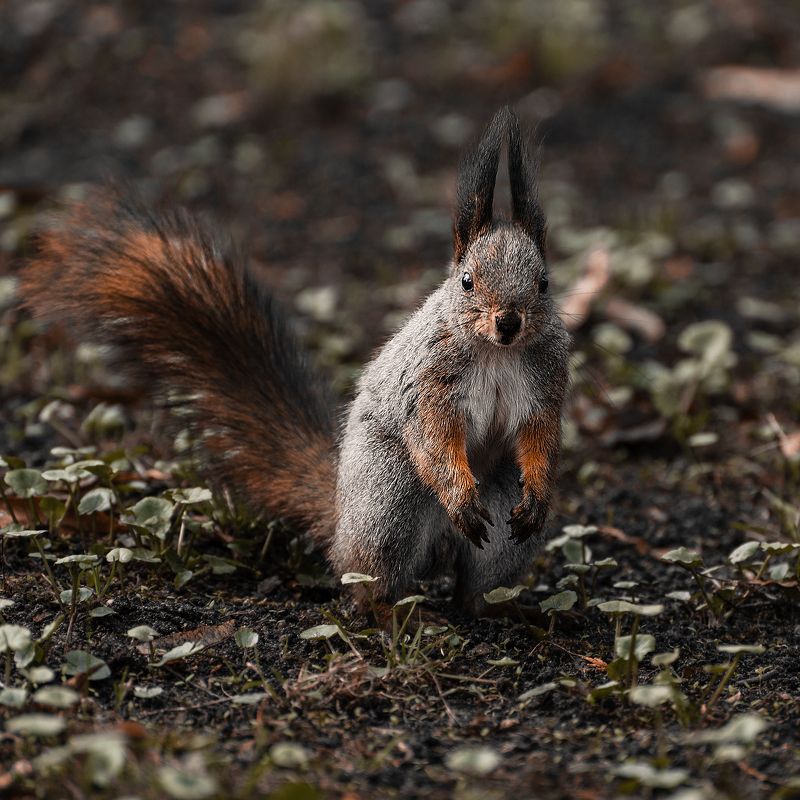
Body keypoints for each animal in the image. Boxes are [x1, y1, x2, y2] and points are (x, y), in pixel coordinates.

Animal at [19, 107, 570, 619]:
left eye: (544, 283)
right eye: (467, 282)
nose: (508, 322)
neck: (496, 353)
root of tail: (341, 521)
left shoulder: (547, 381)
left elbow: (539, 433)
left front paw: (539, 491)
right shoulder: (430, 382)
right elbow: (434, 437)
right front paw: (459, 497)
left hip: (500, 511)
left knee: (482, 581)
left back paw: (507, 609)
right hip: (389, 499)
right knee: (370, 579)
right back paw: (395, 612)